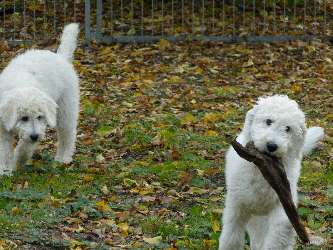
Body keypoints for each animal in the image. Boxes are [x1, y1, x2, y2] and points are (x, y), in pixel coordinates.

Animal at [0, 23, 79, 176]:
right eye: (23, 118)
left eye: (39, 117)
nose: (35, 136)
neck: (20, 85)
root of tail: (61, 57)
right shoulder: (2, 129)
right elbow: (4, 152)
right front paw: (5, 171)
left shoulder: (38, 128)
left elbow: (25, 148)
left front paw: (18, 161)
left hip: (66, 108)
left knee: (67, 133)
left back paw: (63, 158)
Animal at [219, 94, 322, 249]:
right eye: (268, 121)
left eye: (288, 128)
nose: (272, 146)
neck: (261, 172)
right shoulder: (237, 204)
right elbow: (231, 236)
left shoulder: (284, 202)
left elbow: (281, 230)